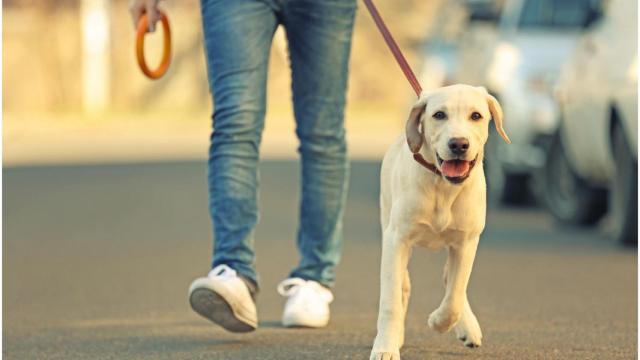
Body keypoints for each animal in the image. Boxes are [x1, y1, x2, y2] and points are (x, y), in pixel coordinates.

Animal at [370, 83, 510, 358]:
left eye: (476, 116)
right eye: (439, 115)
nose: (458, 144)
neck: (443, 187)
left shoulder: (466, 242)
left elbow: (455, 294)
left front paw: (439, 321)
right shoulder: (396, 239)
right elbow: (391, 300)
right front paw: (385, 347)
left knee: (452, 281)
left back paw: (468, 327)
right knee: (403, 285)